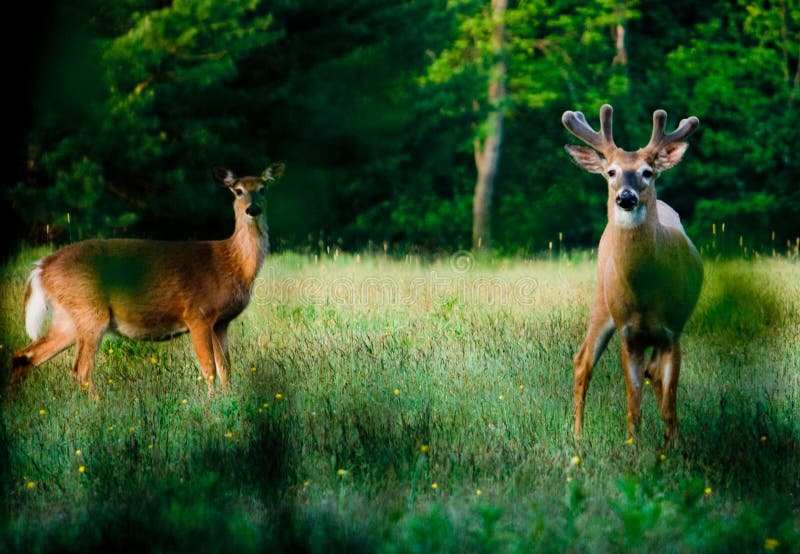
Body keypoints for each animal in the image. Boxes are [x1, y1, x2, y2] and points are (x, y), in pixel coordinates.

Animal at [10, 162, 284, 394]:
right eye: (238, 191)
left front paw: (228, 401)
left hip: (68, 317)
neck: (232, 263)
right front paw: (212, 406)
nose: (253, 209)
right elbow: (209, 370)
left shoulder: (221, 322)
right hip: (89, 310)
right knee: (81, 370)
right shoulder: (197, 314)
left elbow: (226, 369)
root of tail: (41, 267)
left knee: (24, 357)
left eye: (263, 188)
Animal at [560, 103, 704, 440]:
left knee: (655, 376)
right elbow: (633, 405)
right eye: (611, 172)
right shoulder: (628, 332)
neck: (645, 293)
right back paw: (577, 435)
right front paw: (633, 444)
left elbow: (669, 403)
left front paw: (674, 445)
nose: (626, 197)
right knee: (582, 361)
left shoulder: (672, 329)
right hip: (602, 301)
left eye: (647, 172)